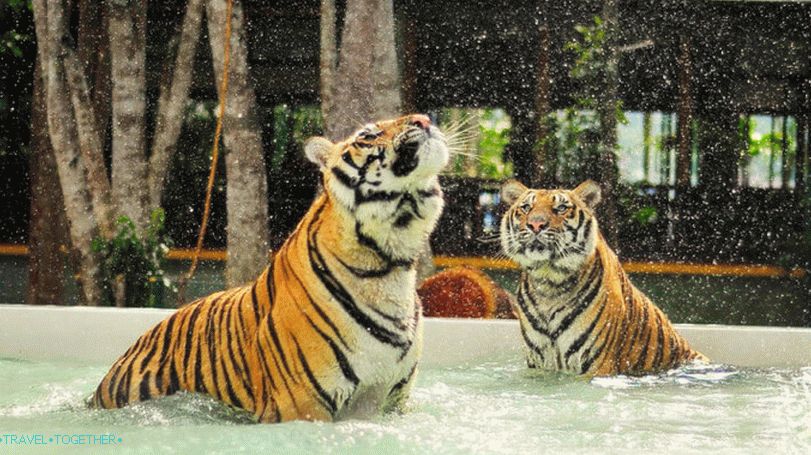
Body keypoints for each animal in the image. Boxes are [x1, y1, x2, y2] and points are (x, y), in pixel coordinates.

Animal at [499, 179, 707, 376]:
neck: (549, 282)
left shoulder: (598, 364)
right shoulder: (539, 363)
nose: (535, 225)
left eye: (561, 208)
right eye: (526, 207)